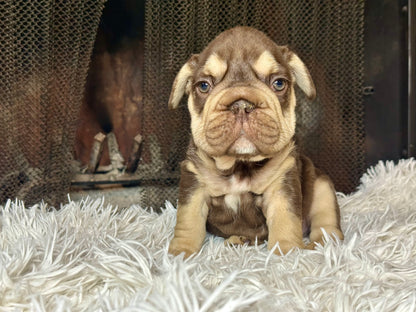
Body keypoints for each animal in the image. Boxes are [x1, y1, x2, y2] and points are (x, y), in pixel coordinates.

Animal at [167, 26, 342, 256]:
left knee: (327, 223)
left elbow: (286, 221)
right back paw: (238, 240)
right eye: (204, 86)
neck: (240, 165)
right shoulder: (194, 186)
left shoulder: (281, 188)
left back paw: (322, 244)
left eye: (278, 83)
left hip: (323, 188)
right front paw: (181, 253)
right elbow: (188, 221)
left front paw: (286, 253)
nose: (241, 104)